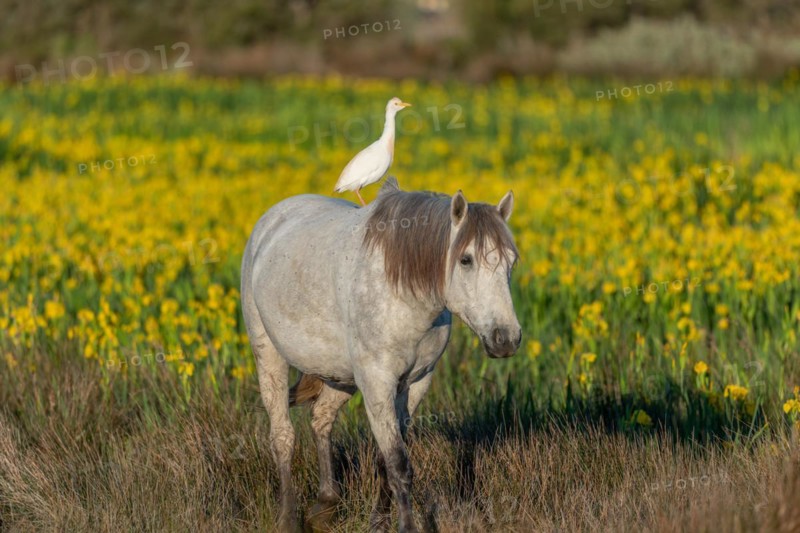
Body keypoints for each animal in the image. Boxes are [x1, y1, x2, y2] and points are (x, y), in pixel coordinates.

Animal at [240, 177, 521, 532]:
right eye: (466, 260)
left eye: (512, 261)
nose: (506, 339)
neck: (403, 292)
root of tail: (271, 219)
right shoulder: (377, 383)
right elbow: (398, 463)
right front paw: (406, 526)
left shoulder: (414, 384)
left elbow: (385, 458)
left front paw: (378, 521)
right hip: (269, 356)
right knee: (282, 437)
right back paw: (289, 518)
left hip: (339, 376)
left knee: (321, 419)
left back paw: (326, 503)